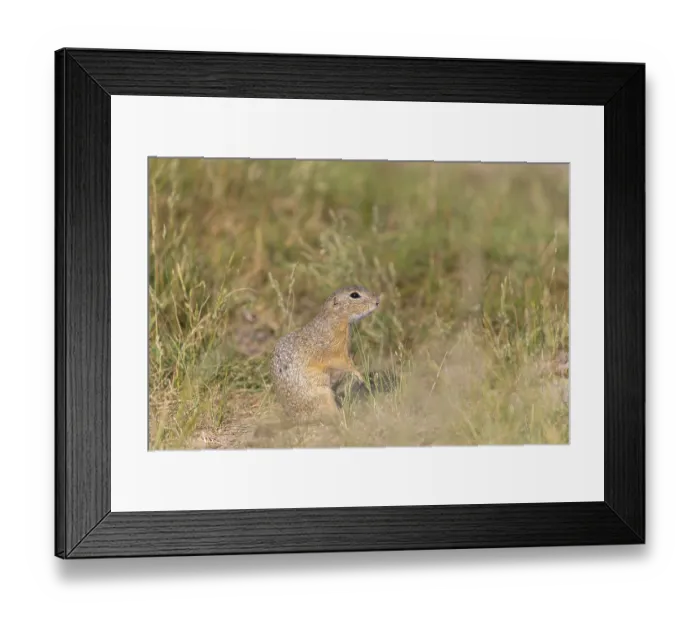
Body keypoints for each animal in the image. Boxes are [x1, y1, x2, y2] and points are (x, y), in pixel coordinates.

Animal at [270, 285, 381, 422]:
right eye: (354, 295)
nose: (377, 301)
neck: (334, 321)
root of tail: (294, 417)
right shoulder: (334, 352)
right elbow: (345, 363)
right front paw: (360, 376)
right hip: (324, 395)